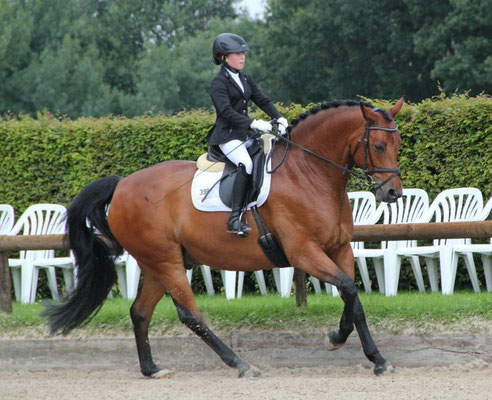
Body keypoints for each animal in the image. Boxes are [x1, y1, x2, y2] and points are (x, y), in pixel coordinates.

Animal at [43, 97, 404, 378]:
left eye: (398, 145)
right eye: (378, 146)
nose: (393, 193)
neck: (309, 173)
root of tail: (121, 185)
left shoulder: (339, 248)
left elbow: (352, 297)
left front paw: (352, 345)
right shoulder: (304, 252)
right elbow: (348, 290)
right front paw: (364, 352)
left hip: (157, 264)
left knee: (140, 312)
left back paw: (152, 369)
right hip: (166, 261)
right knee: (190, 315)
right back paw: (241, 365)